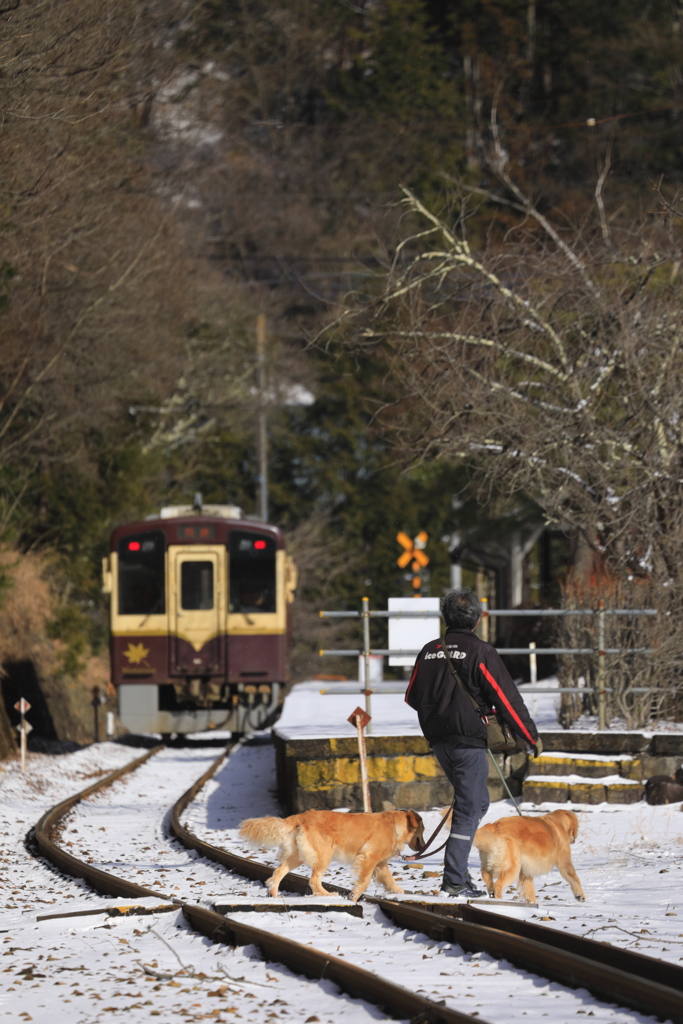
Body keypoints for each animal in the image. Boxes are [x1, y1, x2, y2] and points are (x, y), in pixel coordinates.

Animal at [237, 811, 423, 901]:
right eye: (422, 829)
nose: (422, 846)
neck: (394, 826)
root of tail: (300, 816)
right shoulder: (369, 858)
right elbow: (364, 882)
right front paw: (353, 897)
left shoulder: (380, 863)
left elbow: (389, 880)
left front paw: (400, 892)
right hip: (325, 854)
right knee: (313, 880)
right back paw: (328, 895)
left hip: (297, 856)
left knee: (278, 872)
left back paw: (274, 893)